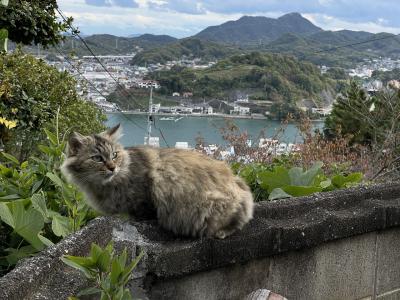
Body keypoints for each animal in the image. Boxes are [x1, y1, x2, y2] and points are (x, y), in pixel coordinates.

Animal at [60, 124, 253, 239]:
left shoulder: (146, 195)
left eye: (114, 155)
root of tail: (239, 184)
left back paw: (221, 232)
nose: (112, 168)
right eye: (97, 158)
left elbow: (142, 212)